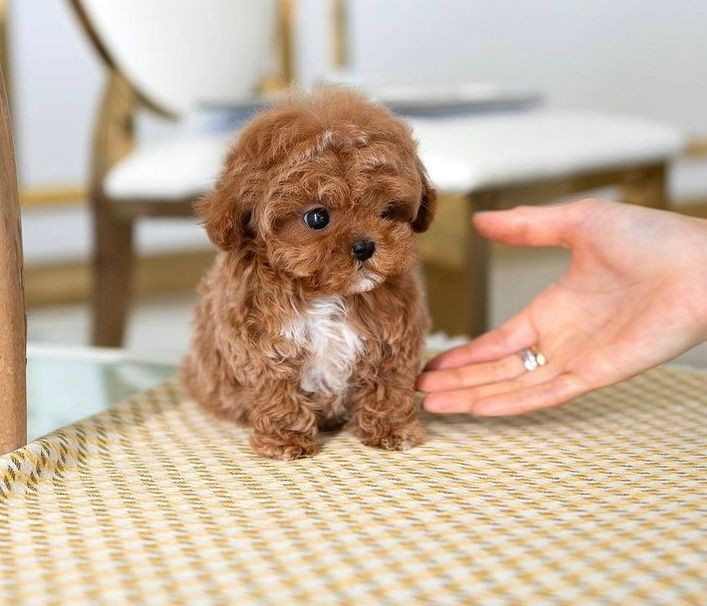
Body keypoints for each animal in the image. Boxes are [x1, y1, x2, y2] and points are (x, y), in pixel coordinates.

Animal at [183, 88, 436, 460]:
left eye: (386, 211)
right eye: (317, 217)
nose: (365, 247)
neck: (326, 292)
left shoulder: (394, 337)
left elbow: (389, 384)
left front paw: (392, 430)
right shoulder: (261, 345)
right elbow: (277, 393)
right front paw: (286, 440)